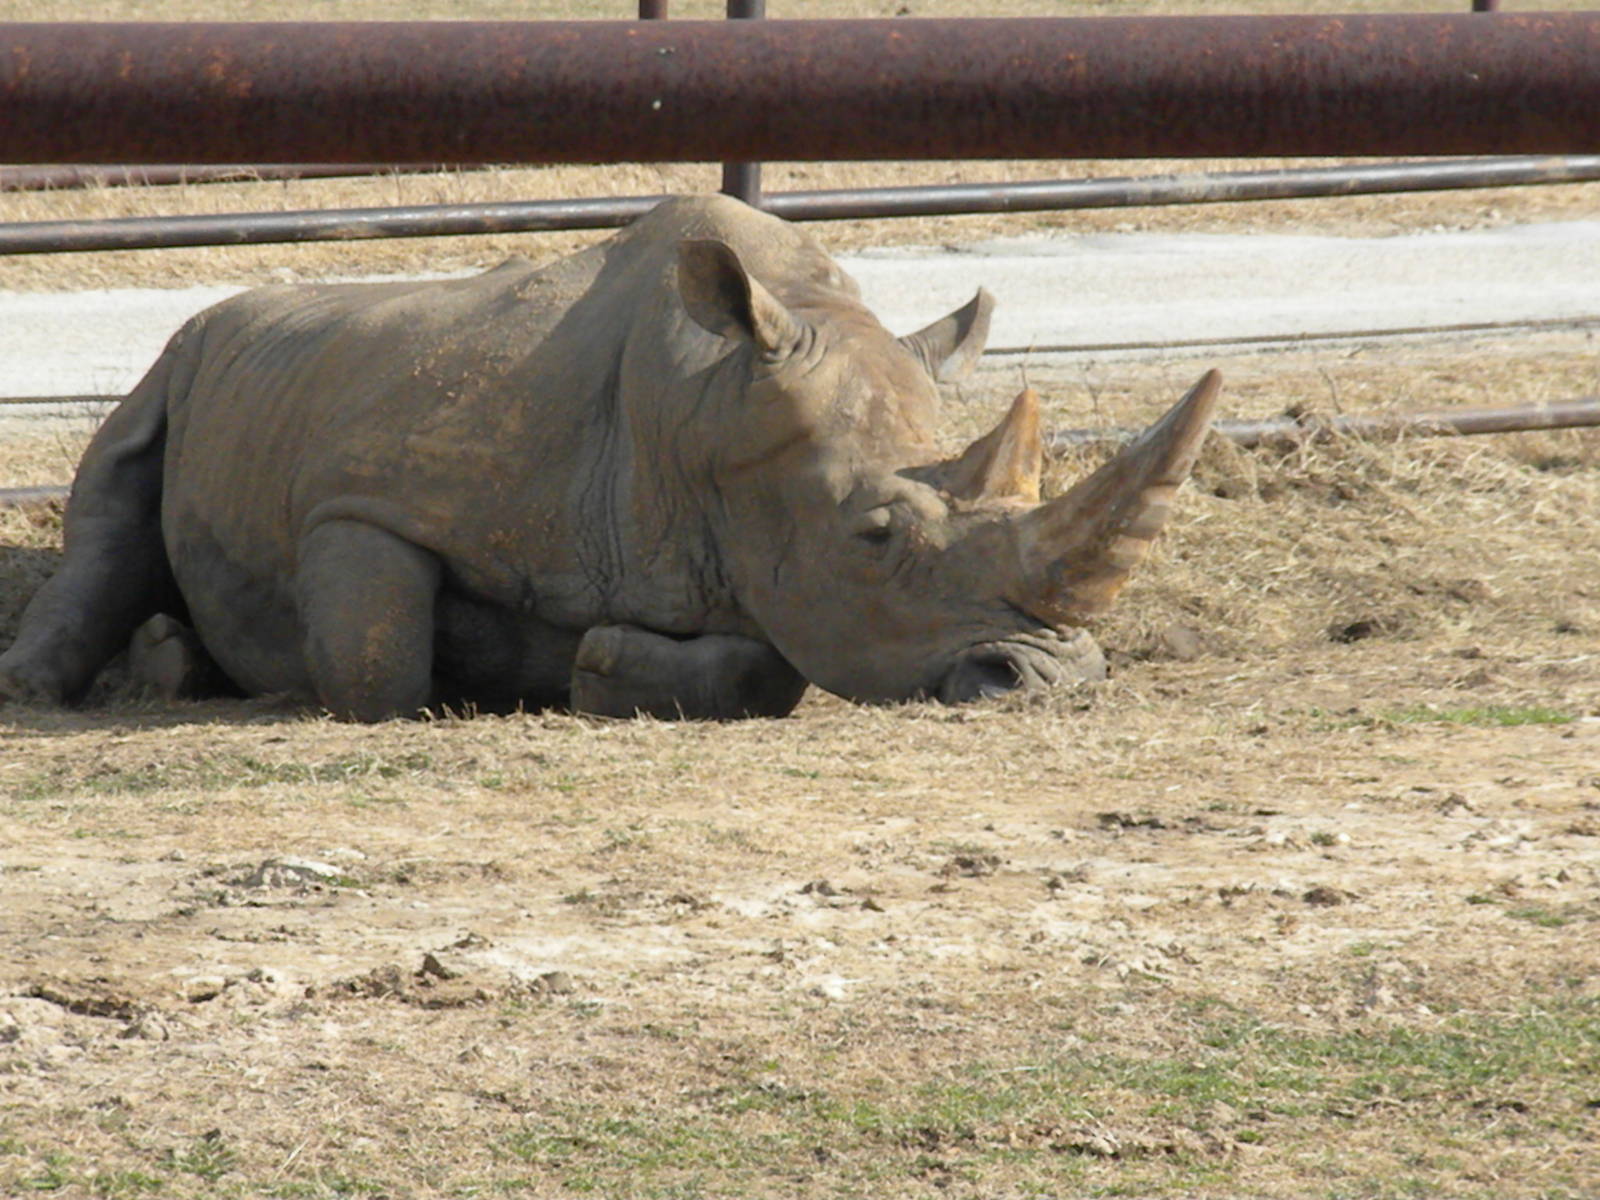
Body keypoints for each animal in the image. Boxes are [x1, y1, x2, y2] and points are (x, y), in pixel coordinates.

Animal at [0, 195, 1218, 722]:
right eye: (875, 536)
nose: (1050, 681)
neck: (708, 408)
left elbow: (768, 666)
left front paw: (588, 667)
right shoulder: (368, 498)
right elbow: (376, 668)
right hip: (182, 351)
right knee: (111, 495)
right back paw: (75, 685)